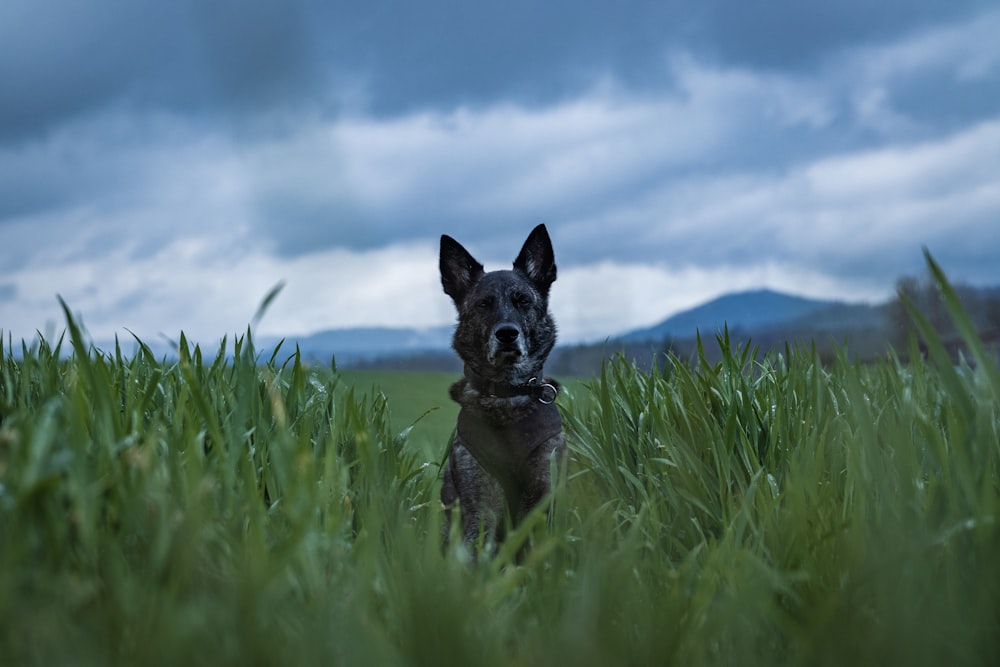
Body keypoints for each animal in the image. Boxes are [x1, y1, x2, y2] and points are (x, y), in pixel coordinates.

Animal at [440, 224, 568, 552]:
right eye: (484, 304)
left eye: (523, 300)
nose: (507, 334)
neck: (506, 395)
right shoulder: (480, 502)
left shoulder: (542, 492)